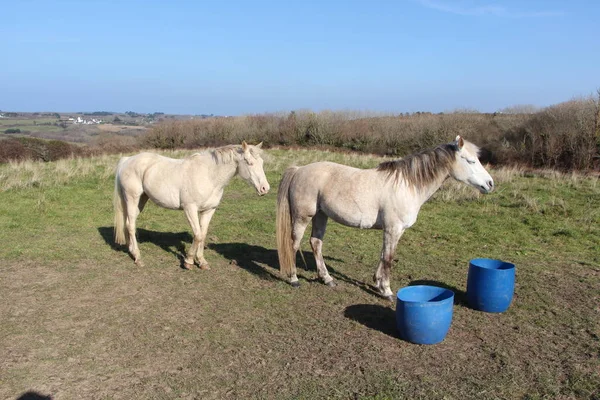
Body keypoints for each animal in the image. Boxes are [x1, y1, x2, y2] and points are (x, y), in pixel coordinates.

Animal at [115, 141, 270, 268]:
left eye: (262, 162)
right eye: (249, 162)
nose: (265, 189)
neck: (208, 176)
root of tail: (127, 160)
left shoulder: (209, 210)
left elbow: (203, 234)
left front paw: (201, 261)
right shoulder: (190, 208)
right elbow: (198, 235)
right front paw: (189, 261)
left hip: (141, 200)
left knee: (128, 223)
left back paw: (131, 251)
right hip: (132, 198)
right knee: (130, 225)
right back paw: (138, 257)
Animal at [276, 136, 492, 298]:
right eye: (471, 161)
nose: (490, 184)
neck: (406, 185)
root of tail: (299, 170)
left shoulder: (394, 231)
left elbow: (384, 255)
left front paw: (378, 283)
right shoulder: (393, 229)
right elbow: (388, 258)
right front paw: (386, 290)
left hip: (321, 215)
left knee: (316, 243)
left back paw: (327, 279)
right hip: (303, 216)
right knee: (294, 243)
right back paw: (293, 278)